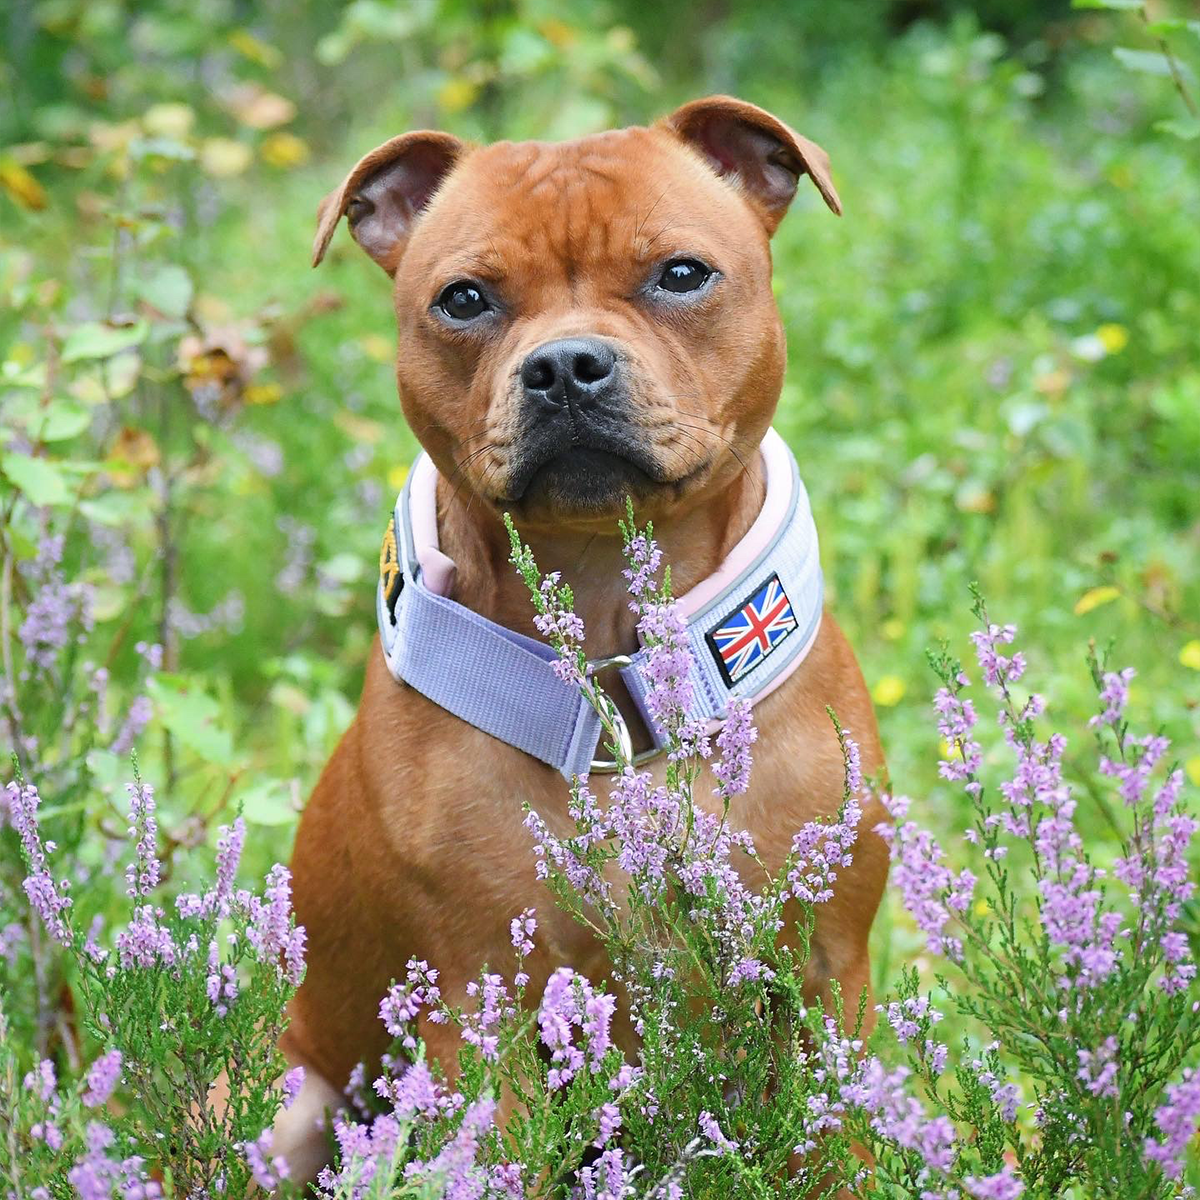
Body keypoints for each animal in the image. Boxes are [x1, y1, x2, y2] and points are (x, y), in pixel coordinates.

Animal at [274, 98, 892, 1176]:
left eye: (681, 274)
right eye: (464, 299)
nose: (565, 365)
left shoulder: (826, 975)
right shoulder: (482, 1007)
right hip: (291, 1105)